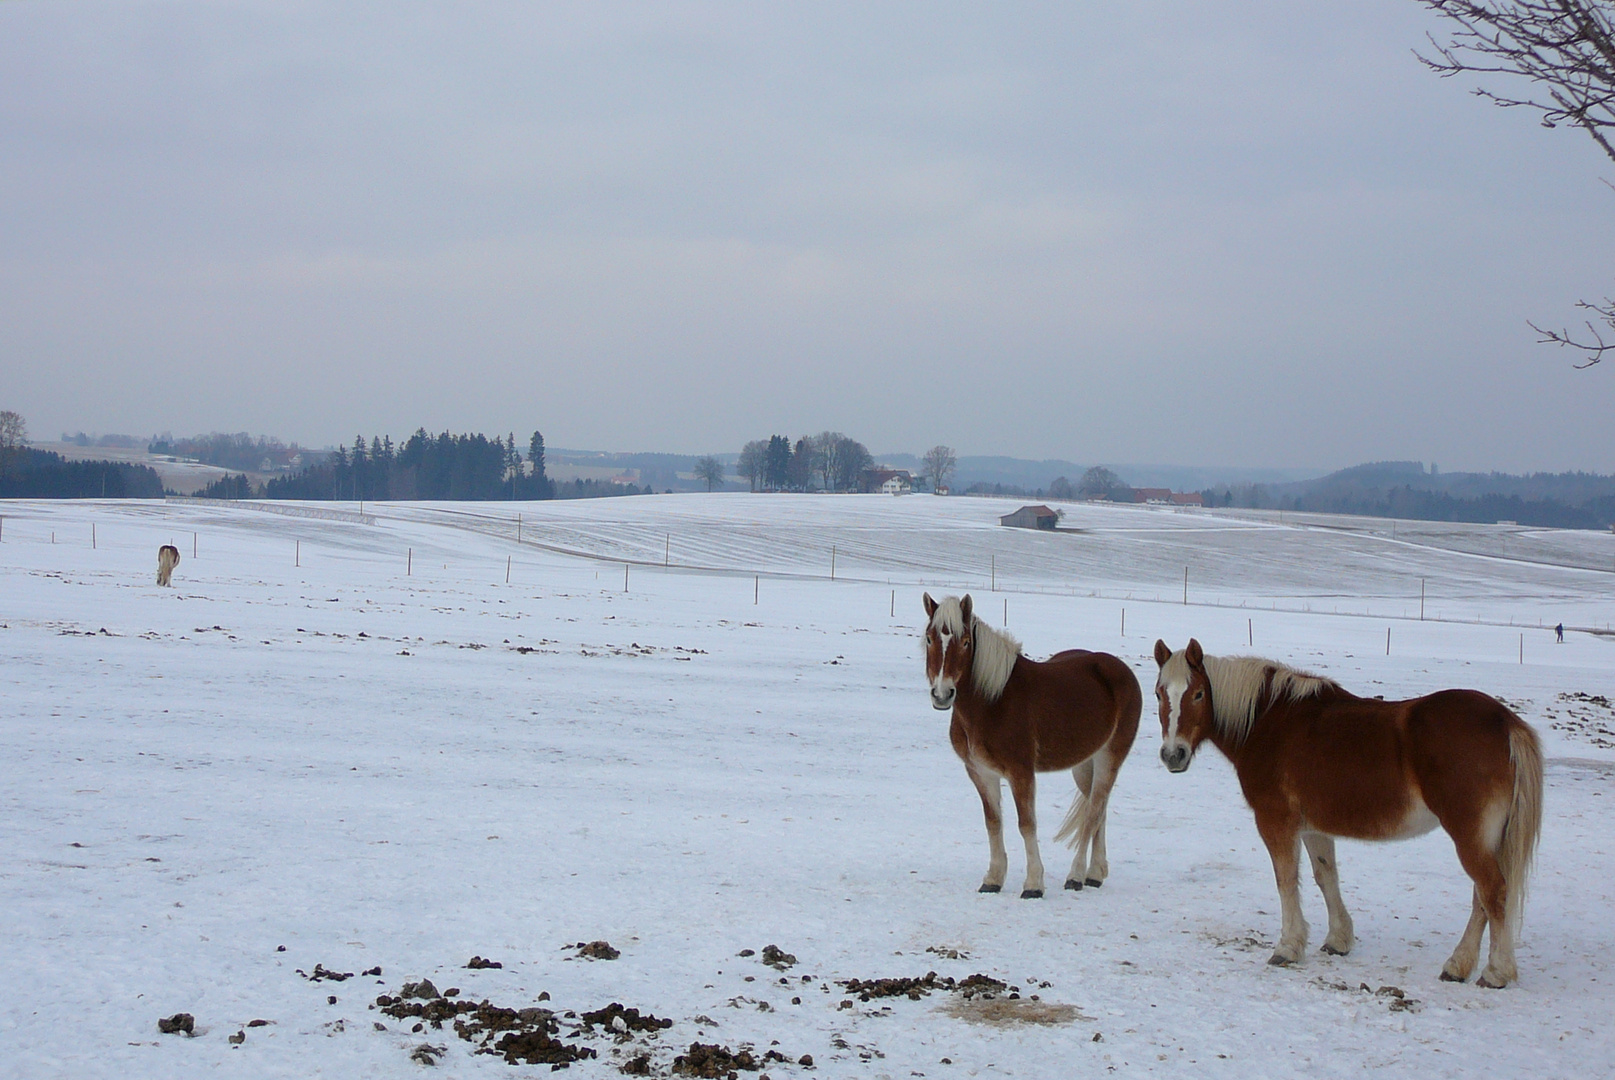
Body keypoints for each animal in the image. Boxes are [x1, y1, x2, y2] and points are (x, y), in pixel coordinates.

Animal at [930, 594, 1143, 897]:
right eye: (929, 638)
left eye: (966, 642)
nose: (942, 694)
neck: (992, 701)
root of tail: (1120, 670)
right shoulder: (980, 772)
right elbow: (993, 822)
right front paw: (993, 879)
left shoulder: (1021, 772)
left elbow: (1026, 824)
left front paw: (1033, 884)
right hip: (1083, 765)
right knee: (1098, 810)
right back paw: (1094, 874)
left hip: (1109, 757)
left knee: (1093, 812)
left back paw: (1076, 875)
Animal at [1156, 639, 1543, 987]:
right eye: (1160, 693)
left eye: (1198, 694)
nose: (1173, 755)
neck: (1269, 722)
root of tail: (1505, 723)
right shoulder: (1313, 827)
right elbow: (1325, 876)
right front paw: (1338, 940)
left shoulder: (1276, 822)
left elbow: (1286, 880)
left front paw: (1287, 947)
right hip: (1486, 838)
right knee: (1482, 898)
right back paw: (1458, 966)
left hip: (1470, 836)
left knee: (1493, 892)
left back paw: (1496, 972)